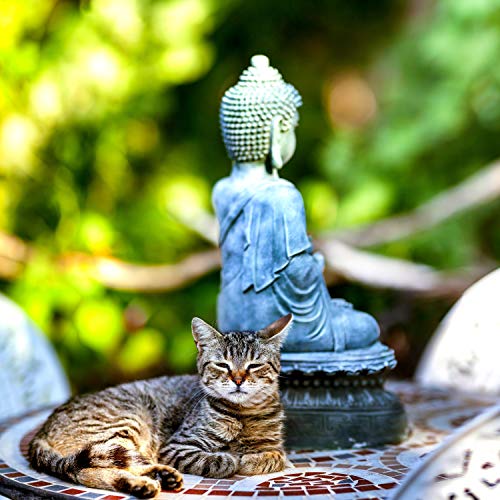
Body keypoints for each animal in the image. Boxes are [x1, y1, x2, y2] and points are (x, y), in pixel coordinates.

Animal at [28, 312, 292, 496]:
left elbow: (275, 456)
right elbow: (217, 460)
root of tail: (42, 429)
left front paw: (253, 458)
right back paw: (148, 480)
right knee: (90, 468)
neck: (244, 414)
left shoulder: (275, 445)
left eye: (254, 365)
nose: (238, 379)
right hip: (125, 425)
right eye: (222, 365)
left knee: (86, 471)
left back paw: (152, 480)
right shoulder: (177, 446)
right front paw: (234, 458)